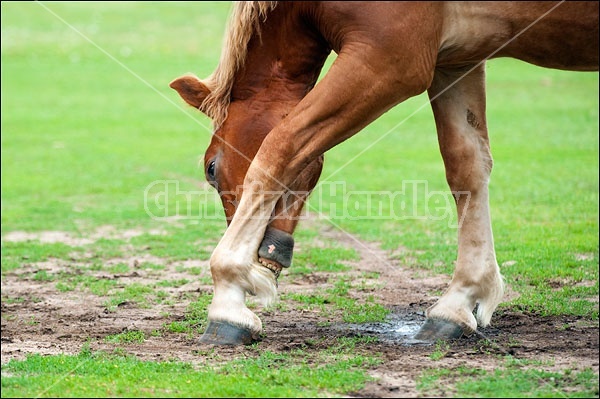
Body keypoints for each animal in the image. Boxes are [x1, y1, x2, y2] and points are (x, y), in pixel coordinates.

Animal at [169, 1, 600, 346]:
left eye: (211, 169)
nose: (271, 252)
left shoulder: (389, 61)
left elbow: (280, 146)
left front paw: (228, 298)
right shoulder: (454, 61)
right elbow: (467, 168)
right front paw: (459, 301)